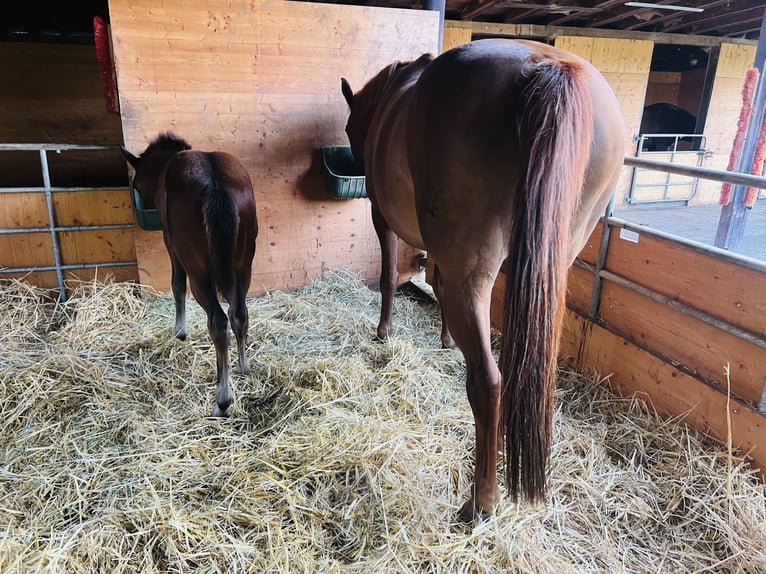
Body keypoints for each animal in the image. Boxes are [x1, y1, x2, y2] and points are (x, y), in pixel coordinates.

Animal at [121, 135, 260, 418]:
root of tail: (216, 186)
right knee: (239, 314)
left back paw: (222, 400)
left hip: (199, 275)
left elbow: (176, 285)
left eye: (137, 183)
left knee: (218, 321)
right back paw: (242, 368)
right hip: (243, 269)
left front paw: (180, 332)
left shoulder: (172, 247)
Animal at [344, 38, 628, 520]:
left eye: (349, 129)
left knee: (487, 380)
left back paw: (483, 499)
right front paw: (444, 340)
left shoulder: (381, 218)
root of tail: (548, 67)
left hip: (474, 270)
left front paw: (384, 332)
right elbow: (436, 286)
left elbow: (387, 278)